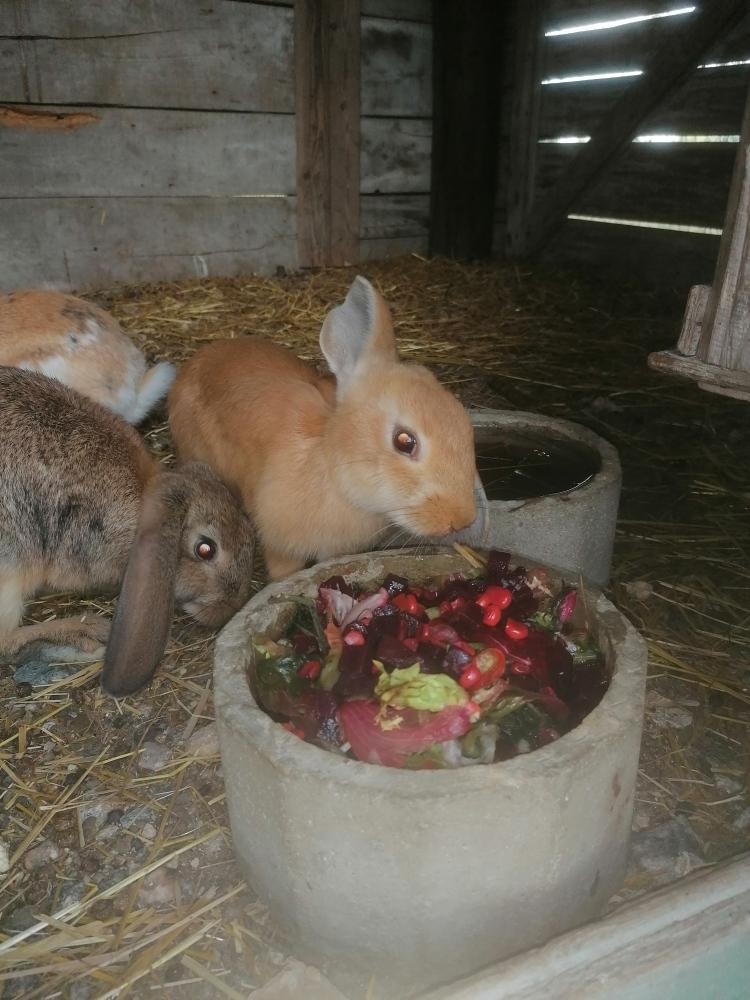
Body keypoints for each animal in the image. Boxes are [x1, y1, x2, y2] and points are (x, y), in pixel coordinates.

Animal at [169, 278, 488, 584]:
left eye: (464, 422)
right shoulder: (280, 541)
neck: (333, 464)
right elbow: (283, 569)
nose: (462, 518)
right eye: (404, 441)